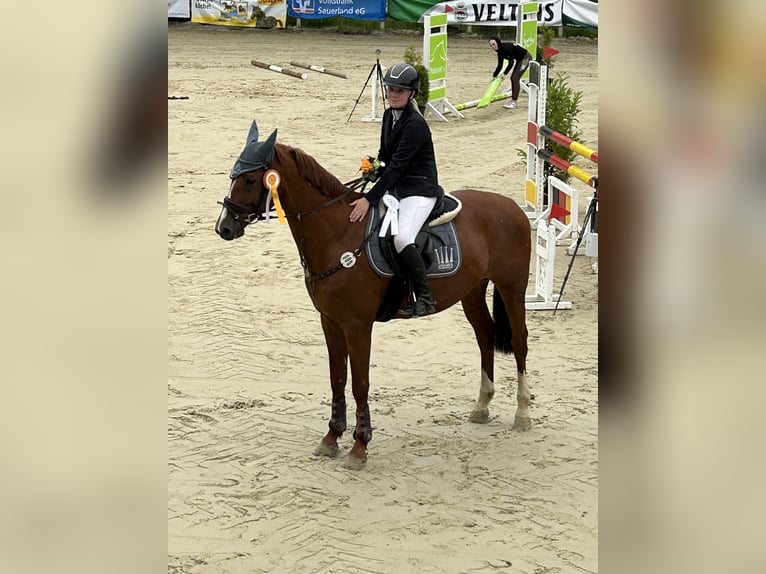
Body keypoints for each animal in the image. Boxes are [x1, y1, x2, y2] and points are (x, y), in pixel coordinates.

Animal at [216, 121, 536, 472]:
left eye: (250, 179)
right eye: (233, 176)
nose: (224, 228)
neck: (338, 233)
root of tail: (512, 208)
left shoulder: (357, 326)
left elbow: (360, 382)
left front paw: (359, 446)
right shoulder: (330, 322)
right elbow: (337, 379)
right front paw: (332, 438)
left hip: (511, 288)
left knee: (519, 340)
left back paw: (522, 413)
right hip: (472, 292)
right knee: (485, 336)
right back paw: (481, 407)